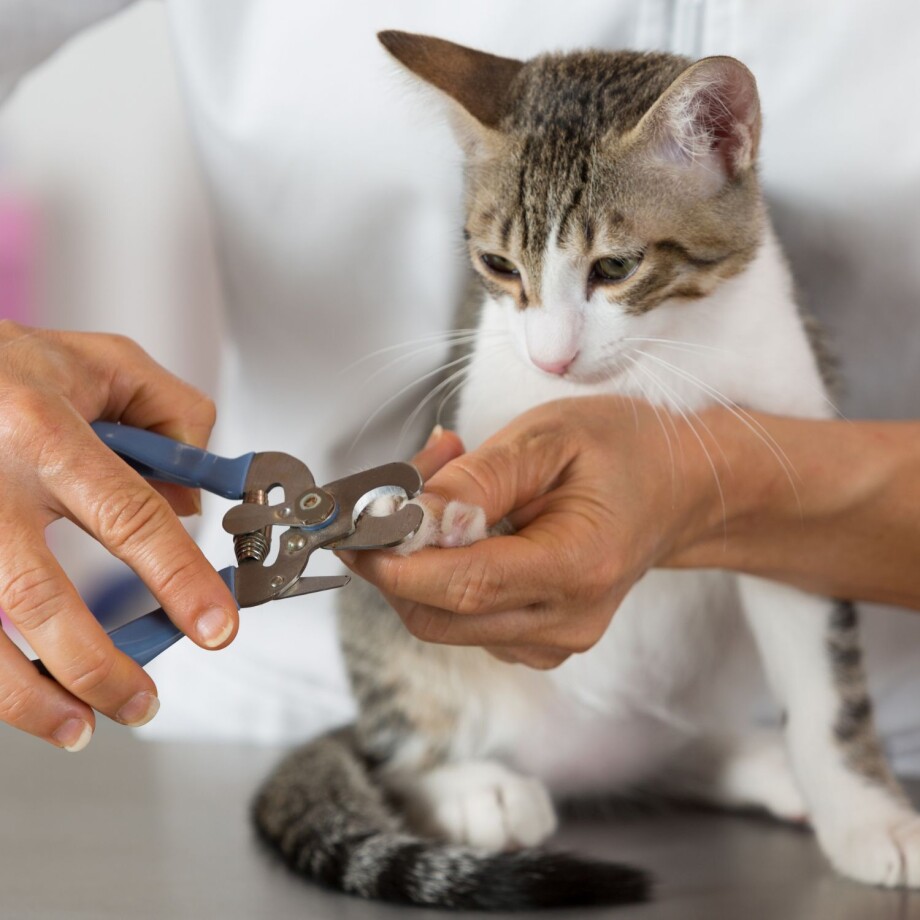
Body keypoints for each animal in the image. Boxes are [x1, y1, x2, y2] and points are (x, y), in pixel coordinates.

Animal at [252, 30, 920, 912]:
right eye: (500, 266)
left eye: (615, 268)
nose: (552, 357)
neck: (653, 366)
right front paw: (446, 513)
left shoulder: (793, 458)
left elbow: (826, 686)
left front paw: (866, 814)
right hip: (393, 659)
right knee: (395, 744)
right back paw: (472, 786)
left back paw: (750, 761)